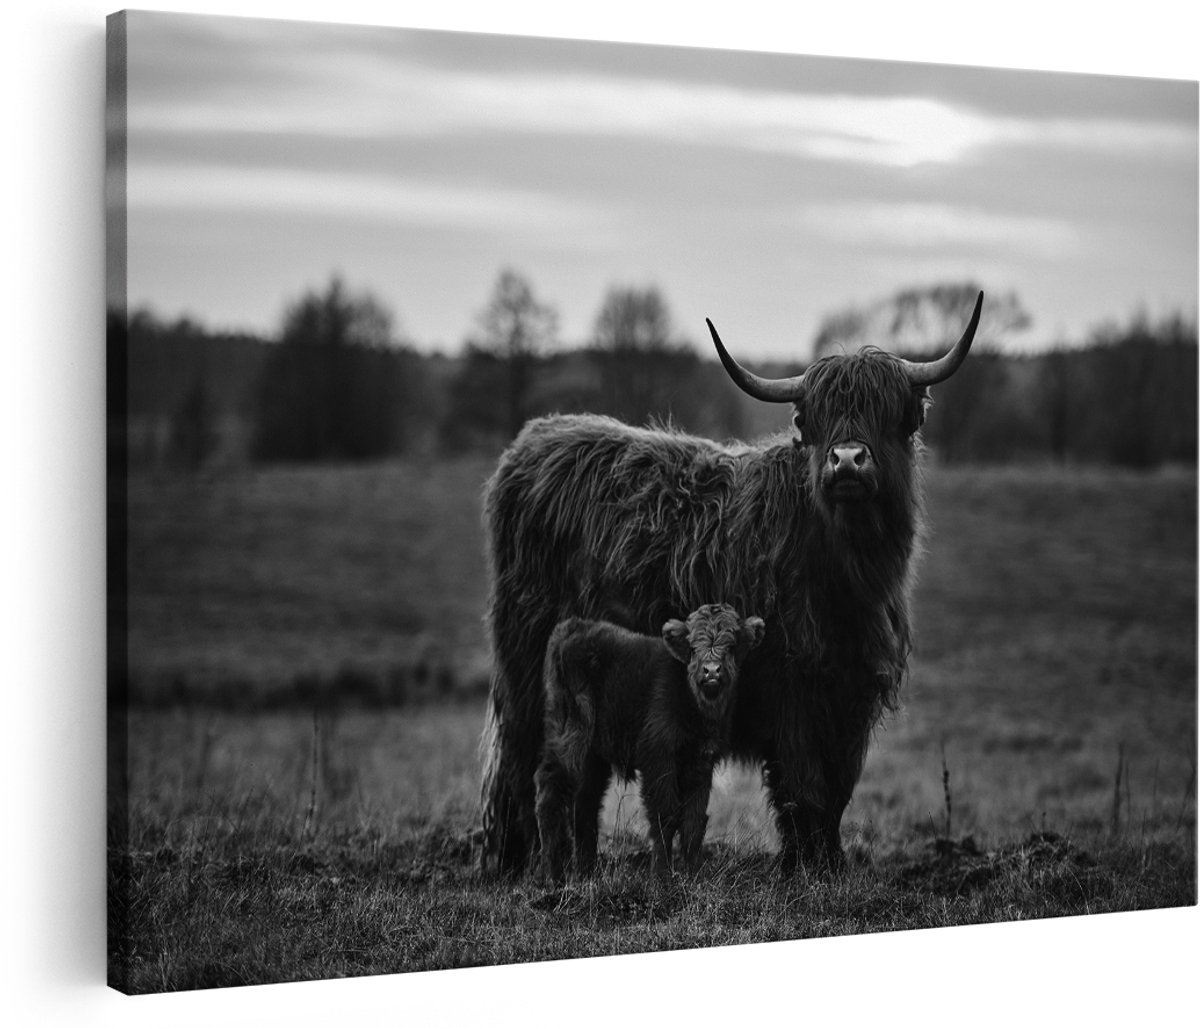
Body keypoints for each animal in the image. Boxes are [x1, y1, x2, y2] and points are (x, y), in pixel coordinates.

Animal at [535, 604, 766, 881]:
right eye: (692, 647)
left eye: (730, 646)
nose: (711, 670)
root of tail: (573, 627)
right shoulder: (658, 757)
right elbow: (665, 815)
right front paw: (662, 876)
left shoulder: (701, 762)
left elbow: (694, 820)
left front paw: (694, 874)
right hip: (570, 734)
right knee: (551, 790)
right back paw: (552, 876)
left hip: (593, 756)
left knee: (585, 802)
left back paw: (585, 873)